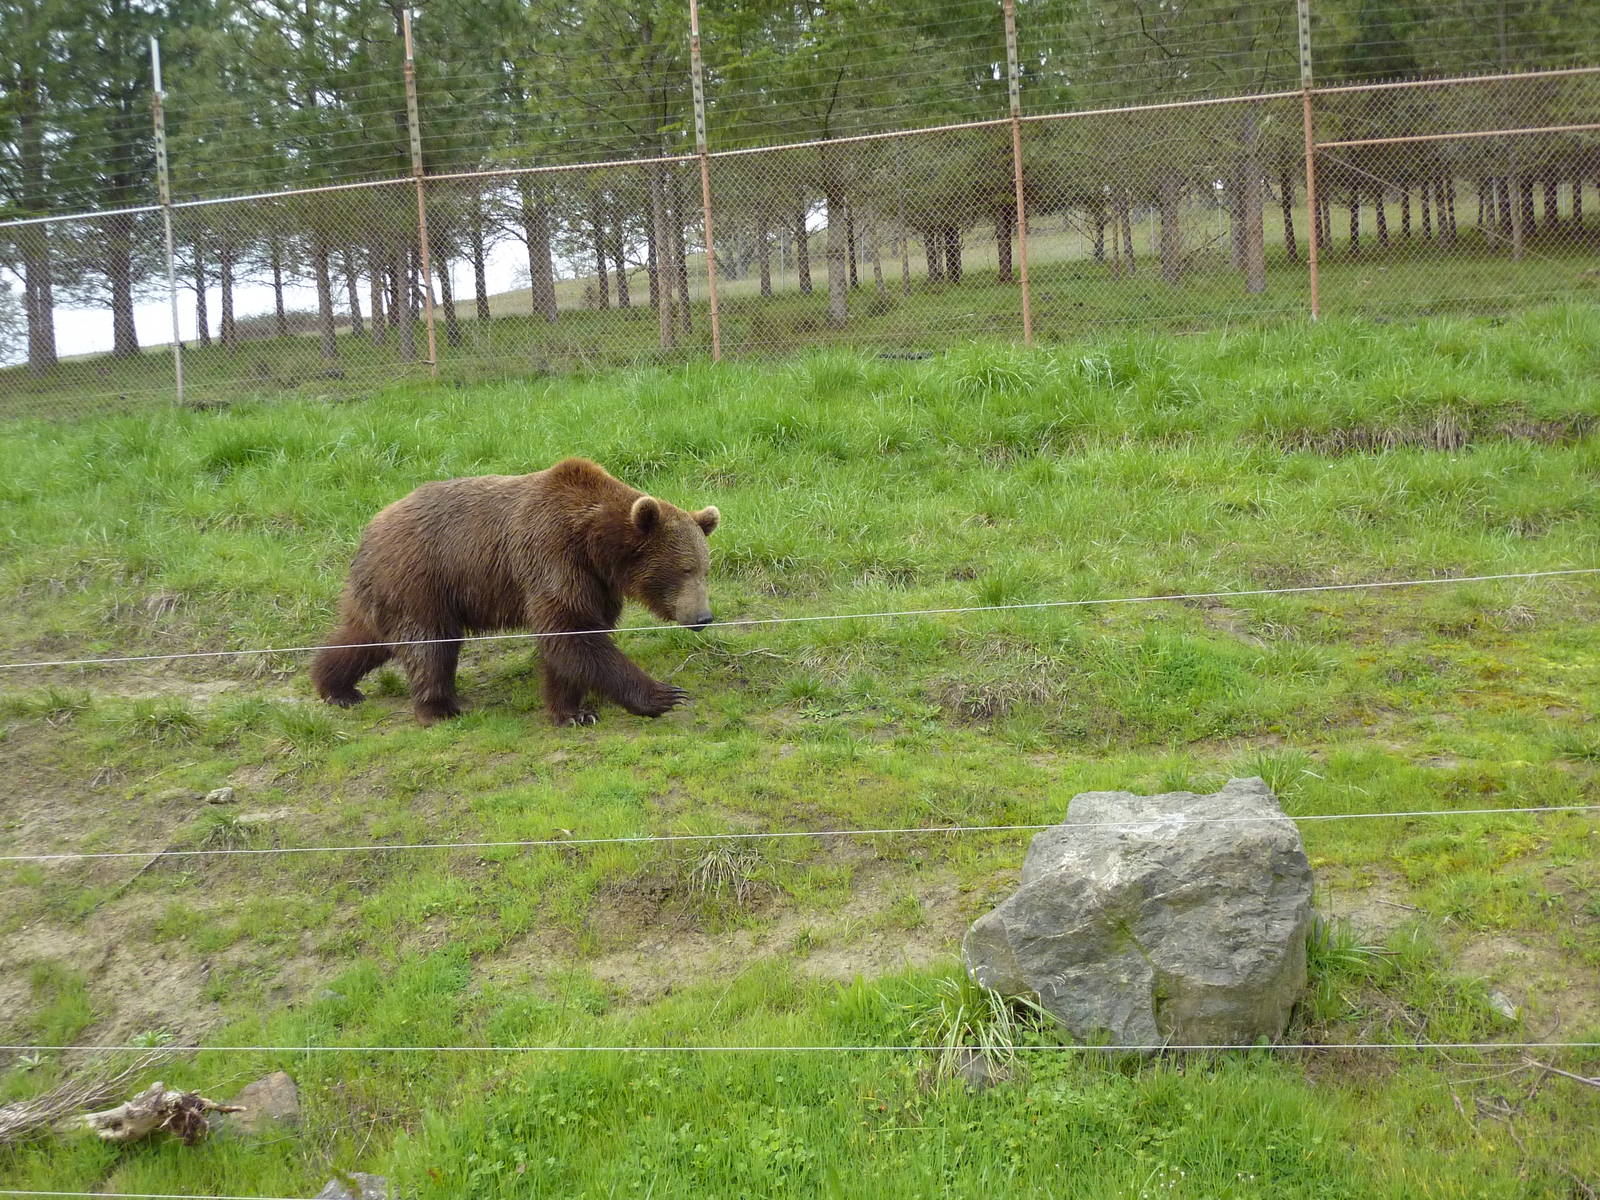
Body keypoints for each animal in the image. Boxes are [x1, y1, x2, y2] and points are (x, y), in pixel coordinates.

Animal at [309, 458, 720, 726]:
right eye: (683, 570)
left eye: (705, 570)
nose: (703, 617)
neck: (596, 545)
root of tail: (369, 530)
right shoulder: (551, 554)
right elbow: (570, 634)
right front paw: (663, 695)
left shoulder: (594, 582)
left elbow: (575, 640)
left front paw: (573, 711)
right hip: (421, 579)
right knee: (430, 644)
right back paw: (439, 709)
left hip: (390, 588)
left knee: (364, 636)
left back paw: (336, 687)